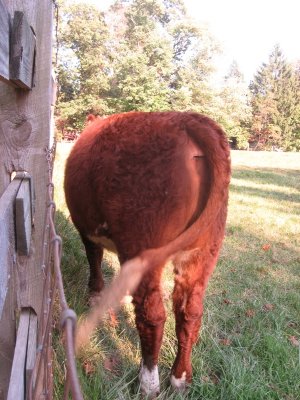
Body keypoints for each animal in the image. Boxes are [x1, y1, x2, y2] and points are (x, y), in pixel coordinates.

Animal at [64, 110, 231, 396]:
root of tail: (189, 119)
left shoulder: (86, 230)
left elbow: (94, 260)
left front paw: (96, 298)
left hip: (142, 238)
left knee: (152, 315)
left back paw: (148, 383)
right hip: (203, 251)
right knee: (190, 312)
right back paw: (180, 378)